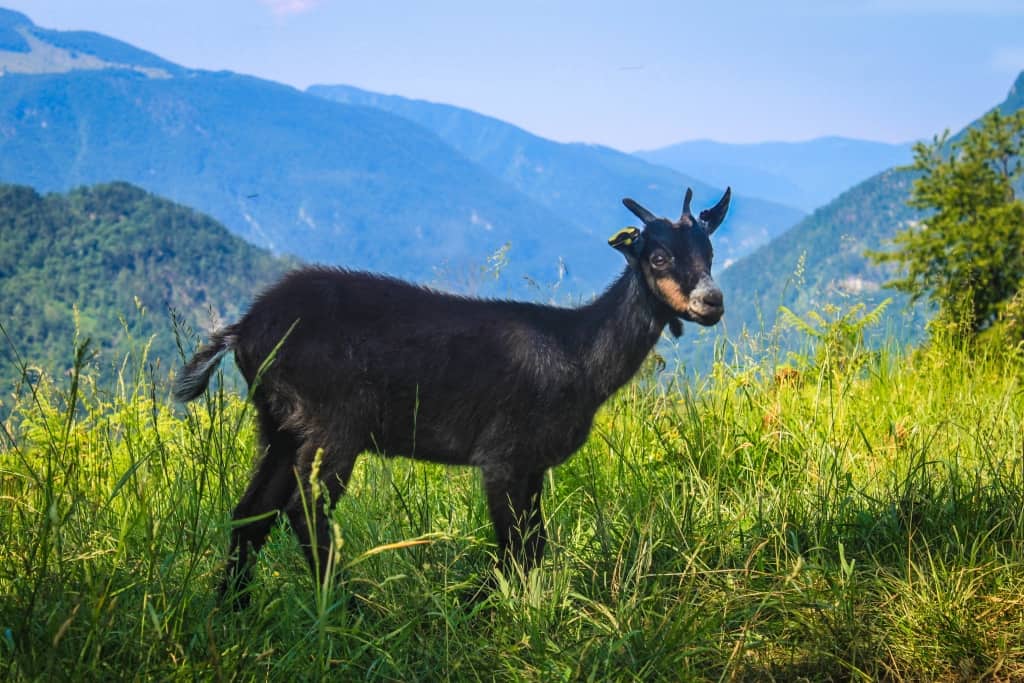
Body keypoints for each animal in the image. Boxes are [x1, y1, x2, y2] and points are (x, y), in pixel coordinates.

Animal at [174, 187, 729, 602]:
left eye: (710, 254)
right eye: (658, 256)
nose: (712, 301)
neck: (577, 351)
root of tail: (243, 330)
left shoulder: (533, 464)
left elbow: (534, 546)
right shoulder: (503, 455)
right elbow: (514, 548)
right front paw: (488, 610)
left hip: (276, 423)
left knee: (251, 512)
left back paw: (232, 609)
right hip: (333, 423)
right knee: (304, 510)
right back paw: (346, 609)